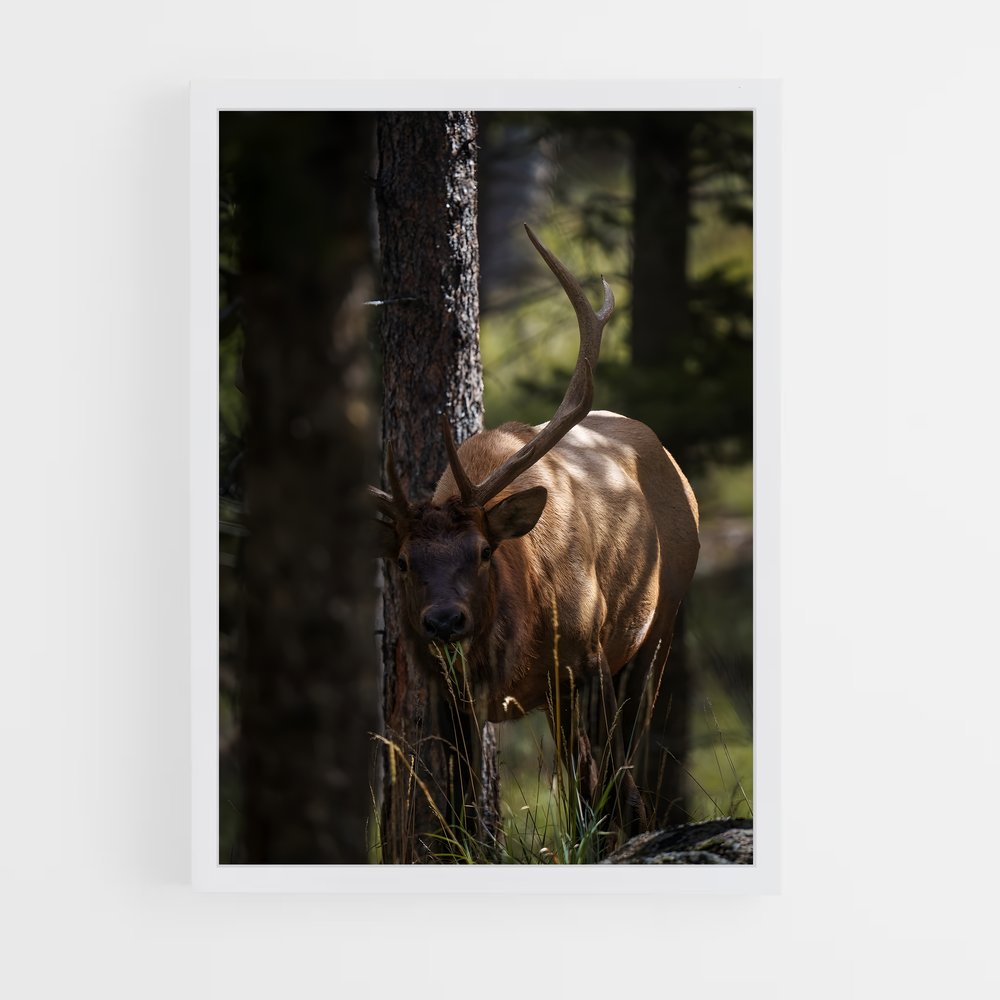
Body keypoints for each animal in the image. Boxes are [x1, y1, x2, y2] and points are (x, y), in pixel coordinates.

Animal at [371, 225, 700, 837]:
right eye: (403, 561)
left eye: (482, 551)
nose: (444, 620)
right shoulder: (450, 693)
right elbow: (461, 815)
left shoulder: (589, 658)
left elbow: (610, 794)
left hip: (657, 627)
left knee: (623, 772)